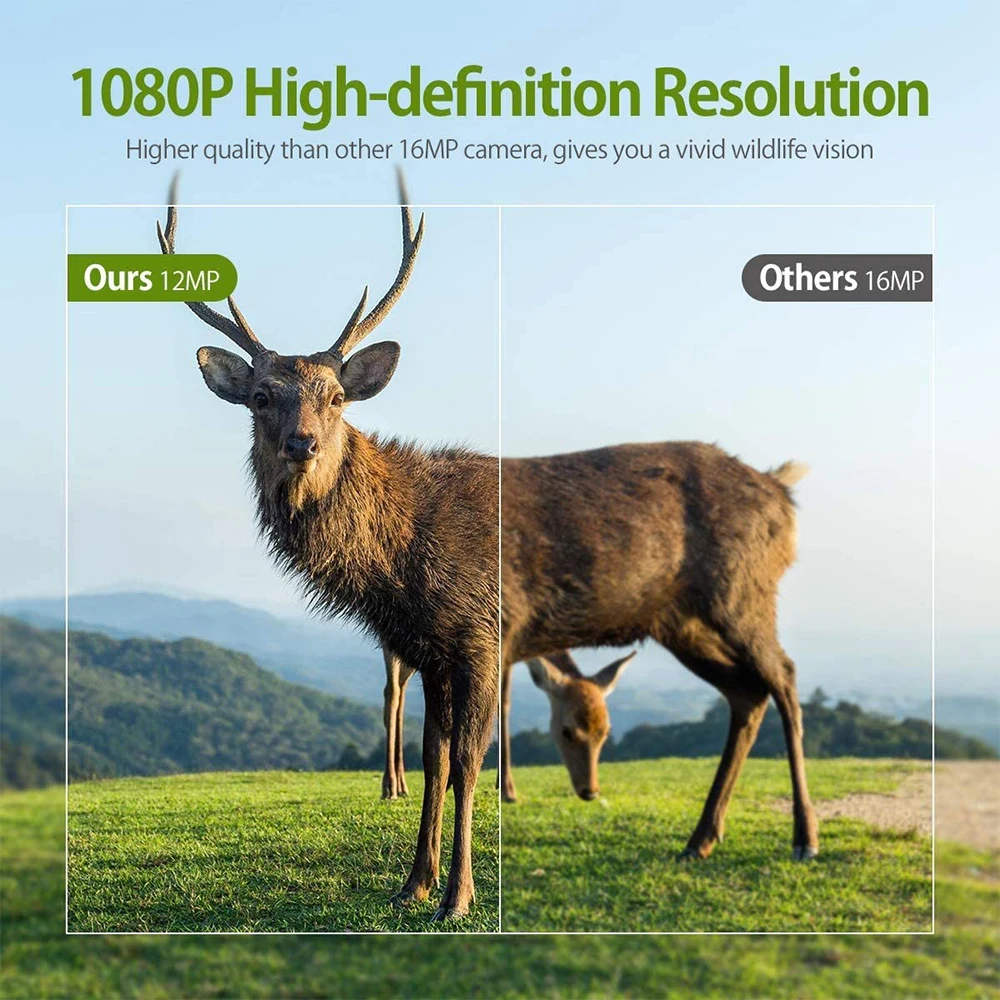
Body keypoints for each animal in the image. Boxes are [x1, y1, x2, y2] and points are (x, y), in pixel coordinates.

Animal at [157, 173, 498, 921]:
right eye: (260, 396)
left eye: (338, 396)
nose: (302, 443)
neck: (401, 563)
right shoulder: (424, 647)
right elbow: (433, 762)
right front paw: (413, 883)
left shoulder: (476, 636)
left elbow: (465, 763)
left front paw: (457, 896)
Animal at [379, 646, 634, 801]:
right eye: (566, 731)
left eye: (606, 731)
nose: (590, 791)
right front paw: (506, 789)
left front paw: (500, 785)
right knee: (392, 691)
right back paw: (390, 786)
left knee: (402, 686)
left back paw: (402, 784)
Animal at [501, 446, 820, 861]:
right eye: (566, 731)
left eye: (605, 732)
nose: (590, 791)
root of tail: (780, 488)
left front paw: (506, 792)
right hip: (682, 625)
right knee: (747, 691)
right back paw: (701, 838)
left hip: (744, 592)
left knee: (784, 674)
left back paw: (804, 837)